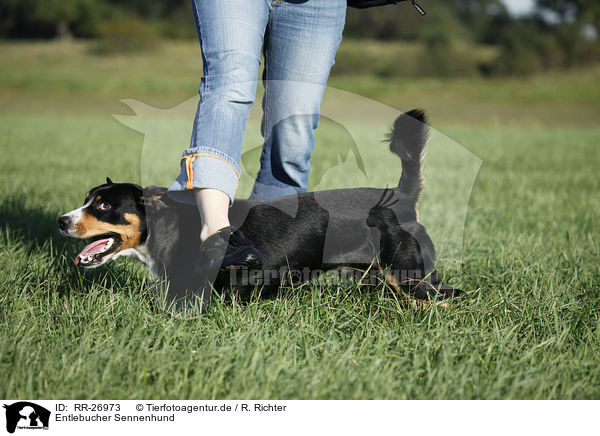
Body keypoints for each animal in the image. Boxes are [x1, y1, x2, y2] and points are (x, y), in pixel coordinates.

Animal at [58, 110, 462, 306]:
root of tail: (400, 196)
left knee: (448, 299)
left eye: (105, 205)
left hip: (411, 276)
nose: (62, 221)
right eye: (88, 198)